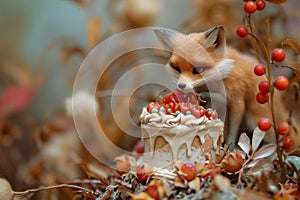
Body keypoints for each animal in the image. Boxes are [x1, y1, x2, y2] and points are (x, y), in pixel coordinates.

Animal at [154, 25, 298, 148]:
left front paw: (229, 147)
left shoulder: (237, 99)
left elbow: (232, 131)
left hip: (256, 119)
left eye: (198, 69)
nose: (181, 86)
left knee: (275, 143)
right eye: (177, 69)